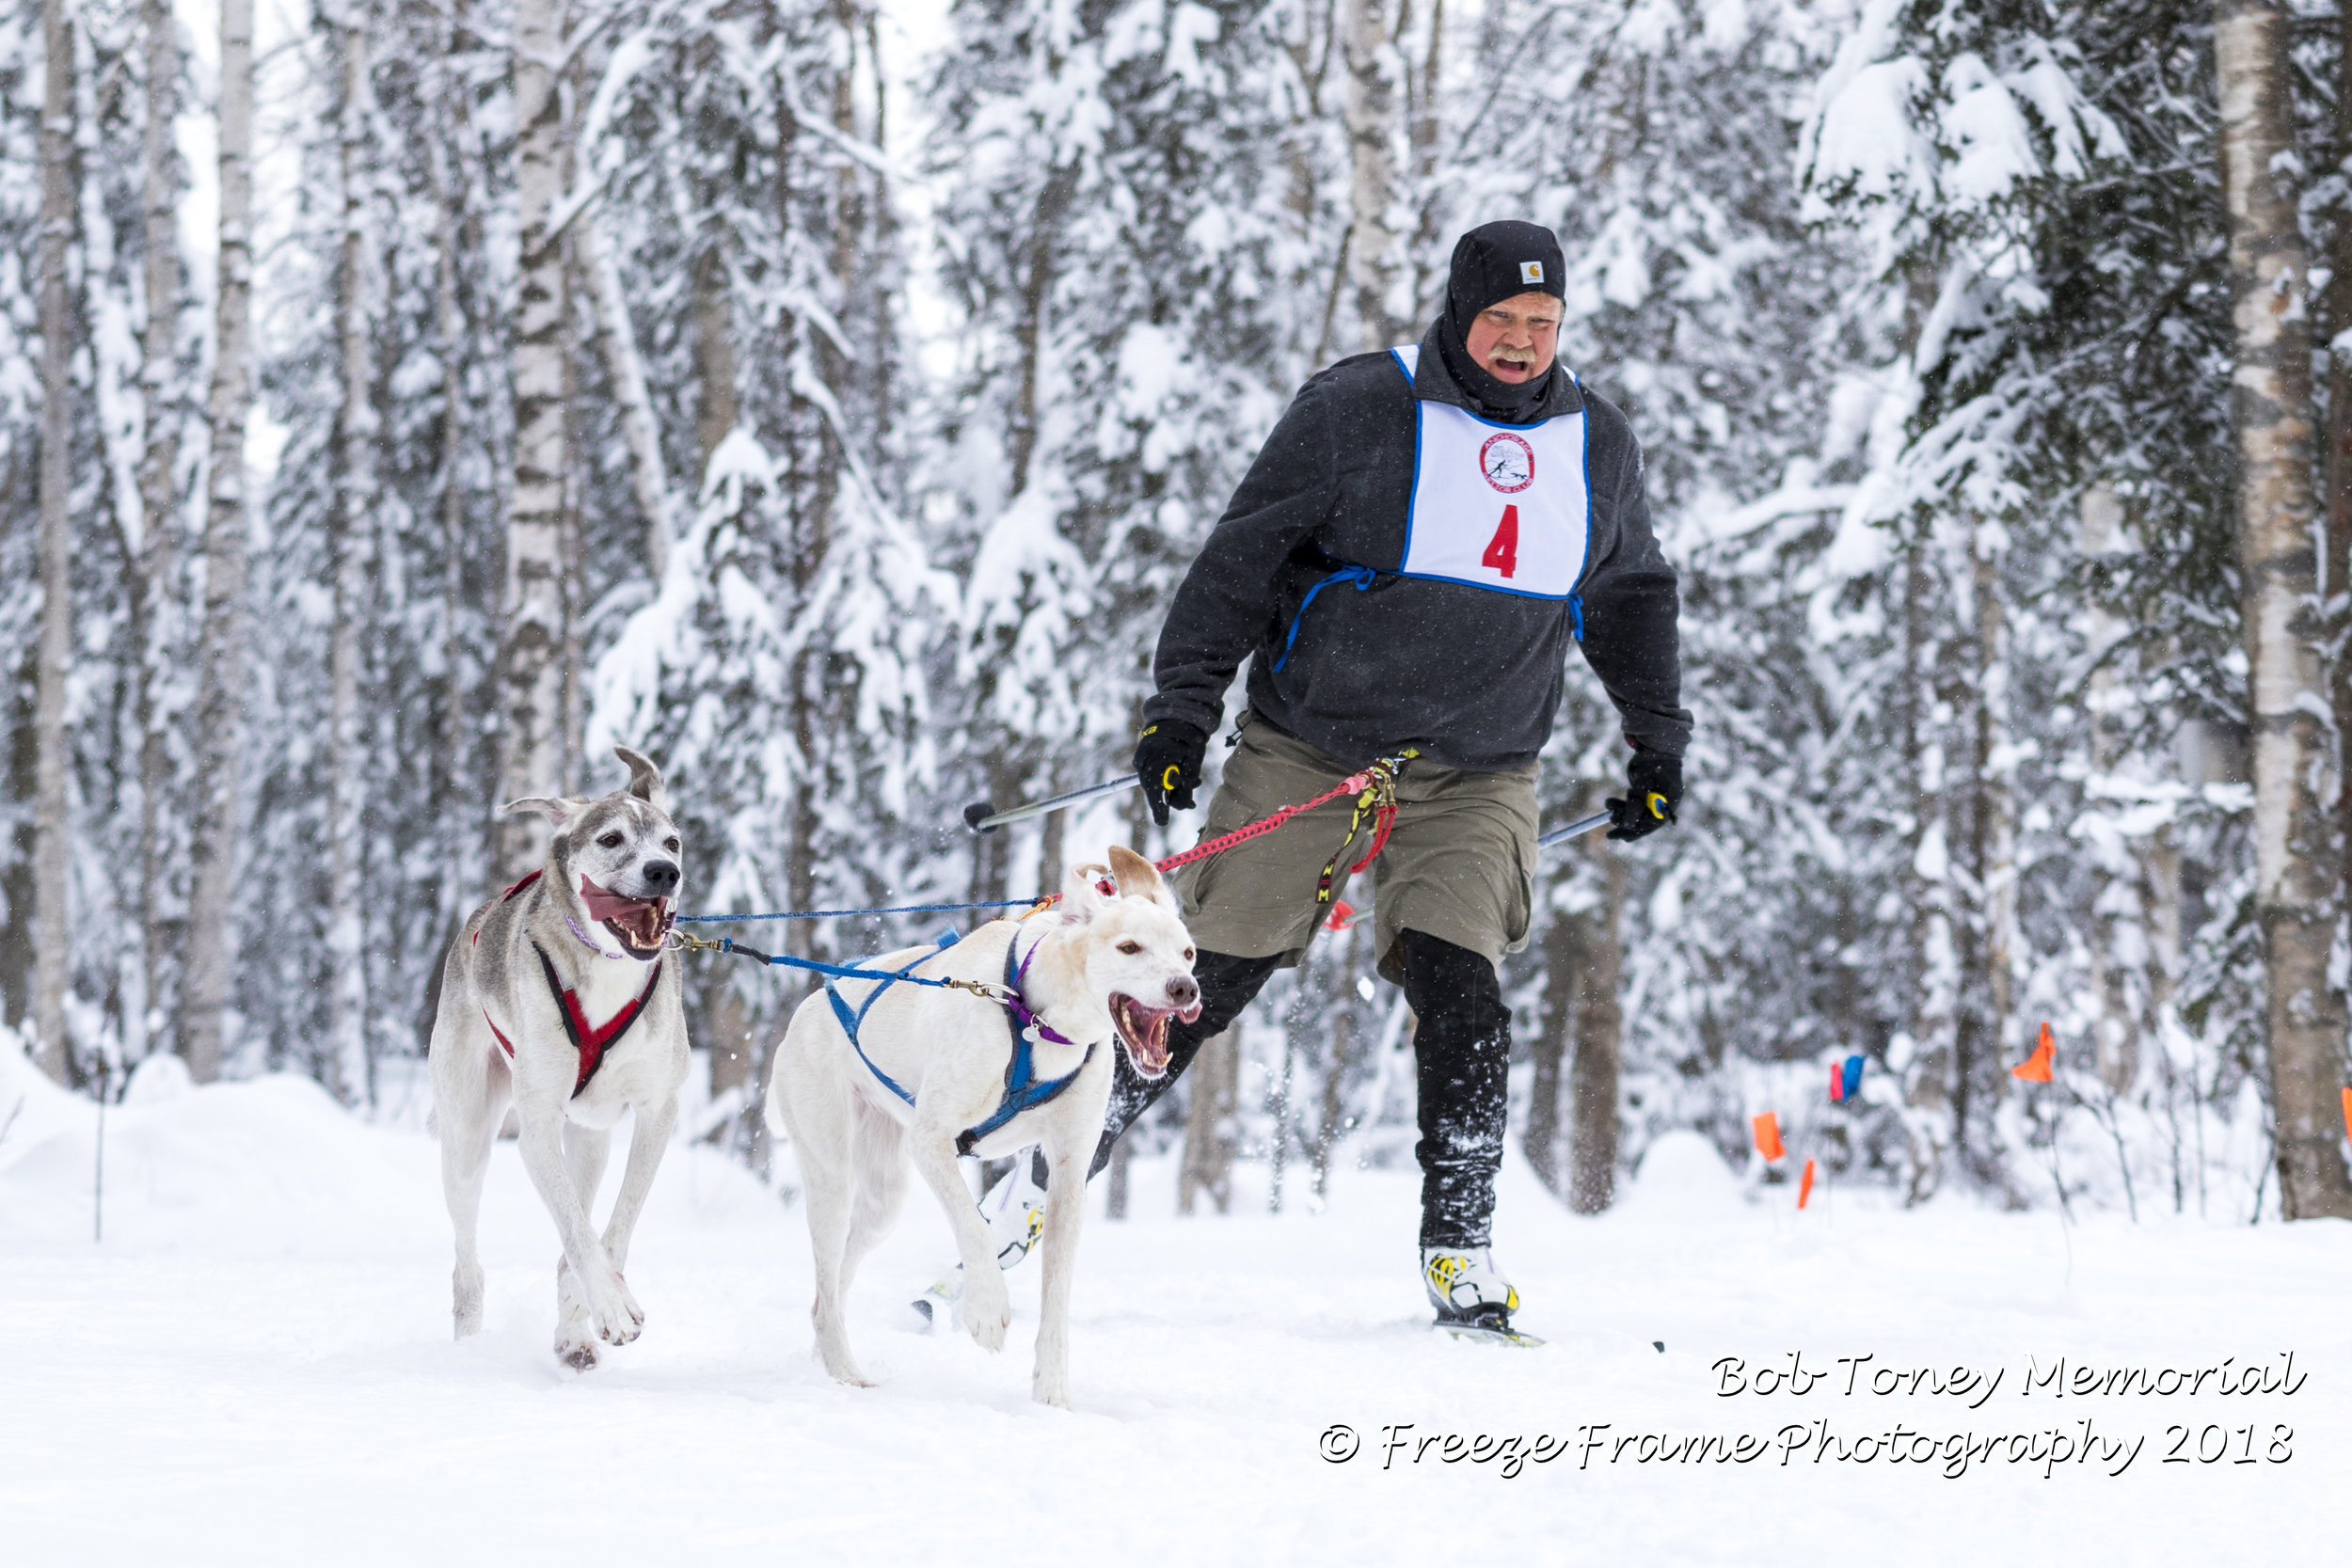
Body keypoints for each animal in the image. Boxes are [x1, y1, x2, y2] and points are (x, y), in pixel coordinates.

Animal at [430, 747, 687, 1372]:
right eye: (612, 838)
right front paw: (612, 1306)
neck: (608, 970)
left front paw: (596, 1306)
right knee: (468, 1260)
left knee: (580, 1220)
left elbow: (610, 1226)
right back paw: (471, 1345)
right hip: (466, 1138)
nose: (663, 872)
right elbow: (575, 1228)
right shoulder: (538, 1127)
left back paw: (573, 1331)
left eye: (671, 842)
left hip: (589, 1140)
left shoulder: (657, 1113)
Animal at [767, 846, 1204, 1410]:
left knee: (828, 1296)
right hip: (831, 1179)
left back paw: (829, 1355)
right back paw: (847, 1372)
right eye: (1129, 947)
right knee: (826, 1275)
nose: (1185, 988)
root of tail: (806, 1008)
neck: (1036, 1018)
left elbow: (1057, 1291)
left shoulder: (1068, 1170)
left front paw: (1052, 1392)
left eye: (1188, 953)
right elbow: (973, 1227)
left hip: (882, 1203)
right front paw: (987, 1311)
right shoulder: (931, 1142)